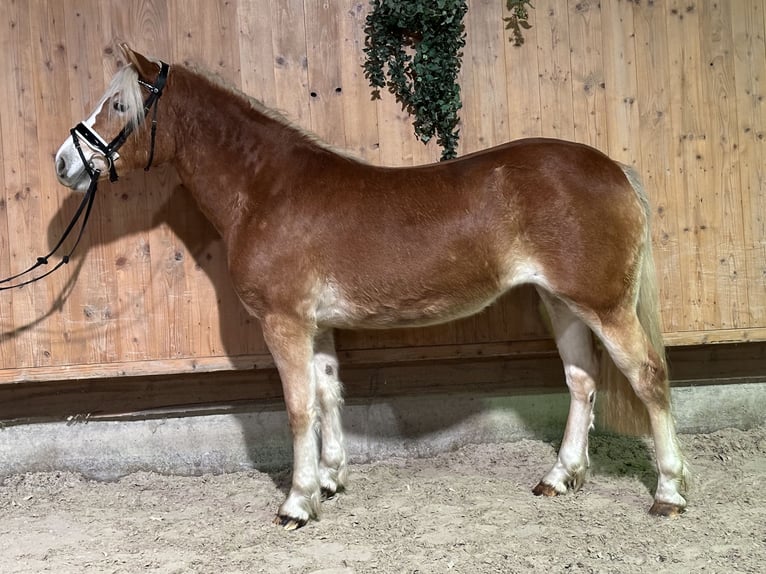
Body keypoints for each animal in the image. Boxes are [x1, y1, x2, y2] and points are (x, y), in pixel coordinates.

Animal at [54, 45, 688, 532]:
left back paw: (669, 492)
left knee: (648, 378)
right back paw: (560, 476)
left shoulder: (284, 322)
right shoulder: (317, 326)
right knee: (582, 382)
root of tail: (613, 169)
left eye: (118, 105)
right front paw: (330, 481)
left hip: (606, 307)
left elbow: (298, 408)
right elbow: (329, 394)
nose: (64, 162)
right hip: (561, 303)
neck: (265, 189)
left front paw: (297, 504)